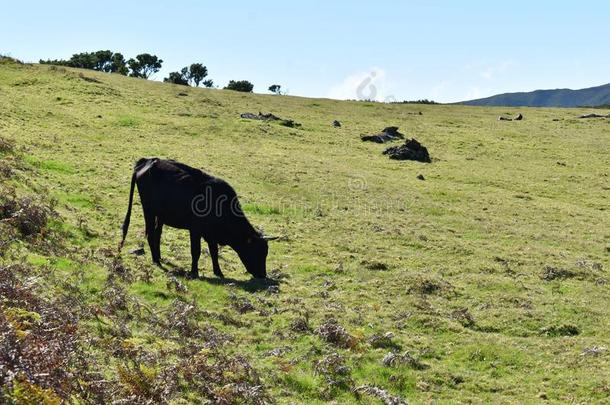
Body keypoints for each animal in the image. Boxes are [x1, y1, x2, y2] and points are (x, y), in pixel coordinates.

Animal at [119, 158, 276, 278]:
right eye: (257, 252)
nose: (263, 275)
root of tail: (147, 161)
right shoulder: (195, 230)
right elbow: (196, 251)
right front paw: (194, 272)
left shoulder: (211, 235)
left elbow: (214, 252)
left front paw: (218, 272)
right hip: (149, 211)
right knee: (151, 234)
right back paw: (155, 260)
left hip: (160, 215)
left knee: (157, 234)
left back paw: (158, 257)